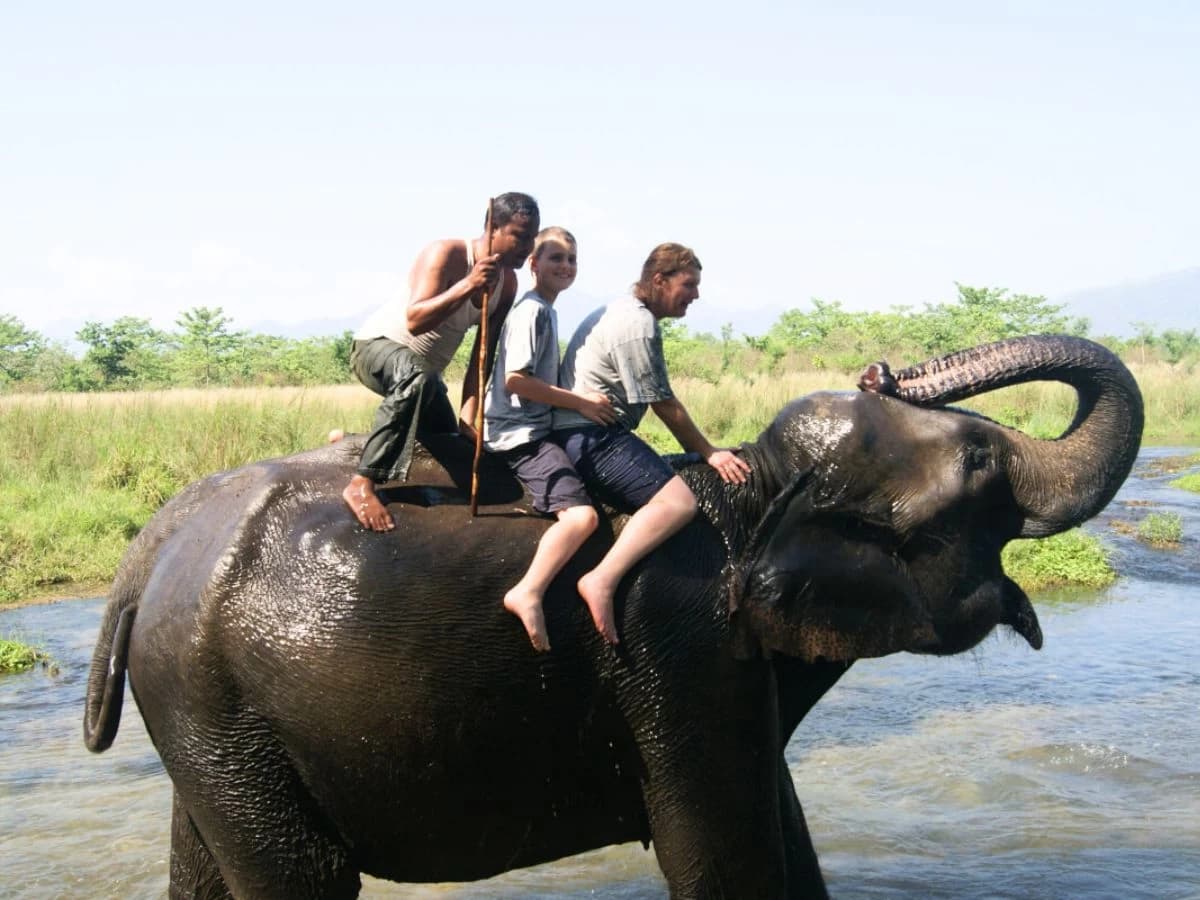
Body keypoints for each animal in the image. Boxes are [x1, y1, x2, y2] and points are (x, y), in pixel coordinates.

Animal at [84, 336, 1142, 897]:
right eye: (979, 464)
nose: (882, 370)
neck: (754, 491)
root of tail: (151, 547)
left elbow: (783, 831)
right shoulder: (678, 647)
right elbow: (722, 853)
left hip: (210, 720)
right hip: (216, 701)